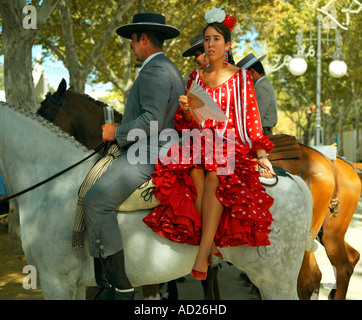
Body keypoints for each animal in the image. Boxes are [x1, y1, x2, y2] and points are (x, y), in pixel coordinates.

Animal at [38, 80, 360, 300]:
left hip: (319, 237)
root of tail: (331, 160)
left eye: (46, 108)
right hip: (325, 233)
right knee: (343, 263)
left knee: (319, 275)